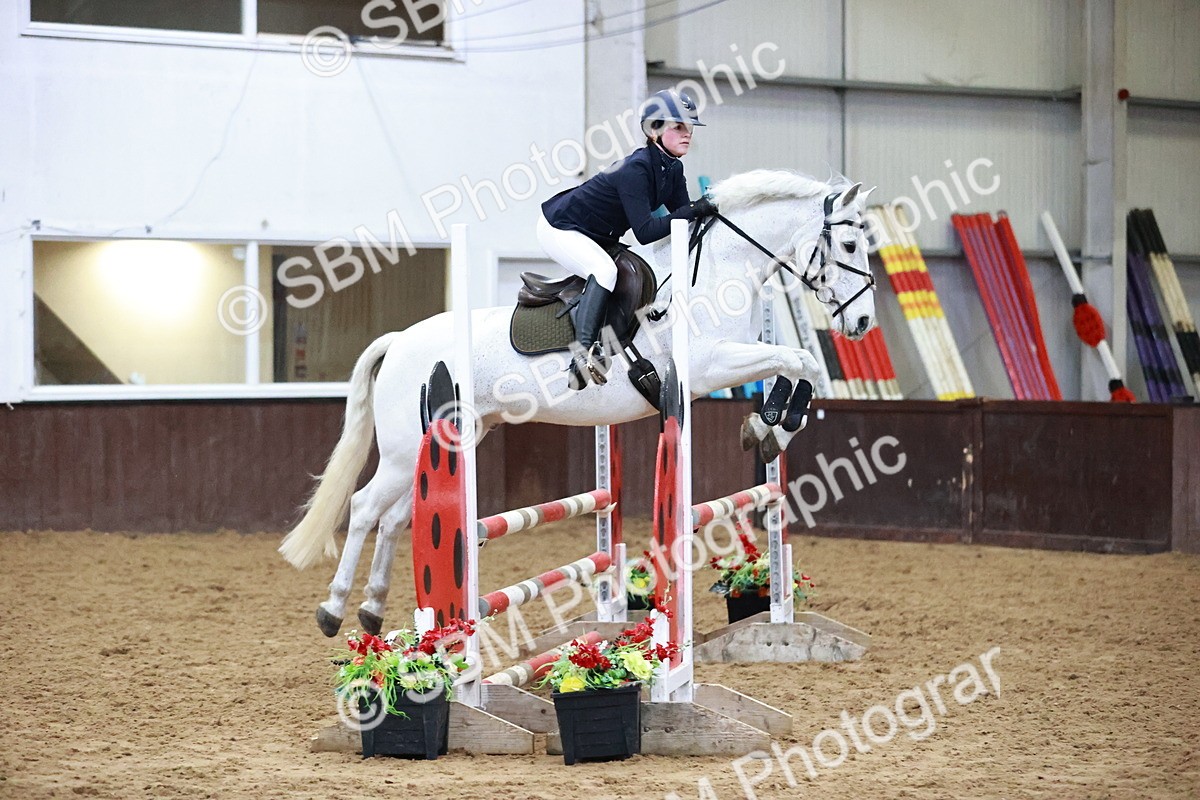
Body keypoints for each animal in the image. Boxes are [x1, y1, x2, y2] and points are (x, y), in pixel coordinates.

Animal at [279, 169, 877, 636]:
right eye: (849, 247)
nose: (863, 322)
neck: (716, 270)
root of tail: (401, 338)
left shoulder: (736, 357)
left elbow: (796, 361)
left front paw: (769, 425)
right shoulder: (711, 365)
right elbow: (800, 359)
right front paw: (772, 424)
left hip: (446, 443)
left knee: (396, 518)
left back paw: (373, 609)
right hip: (408, 450)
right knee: (365, 509)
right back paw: (334, 608)